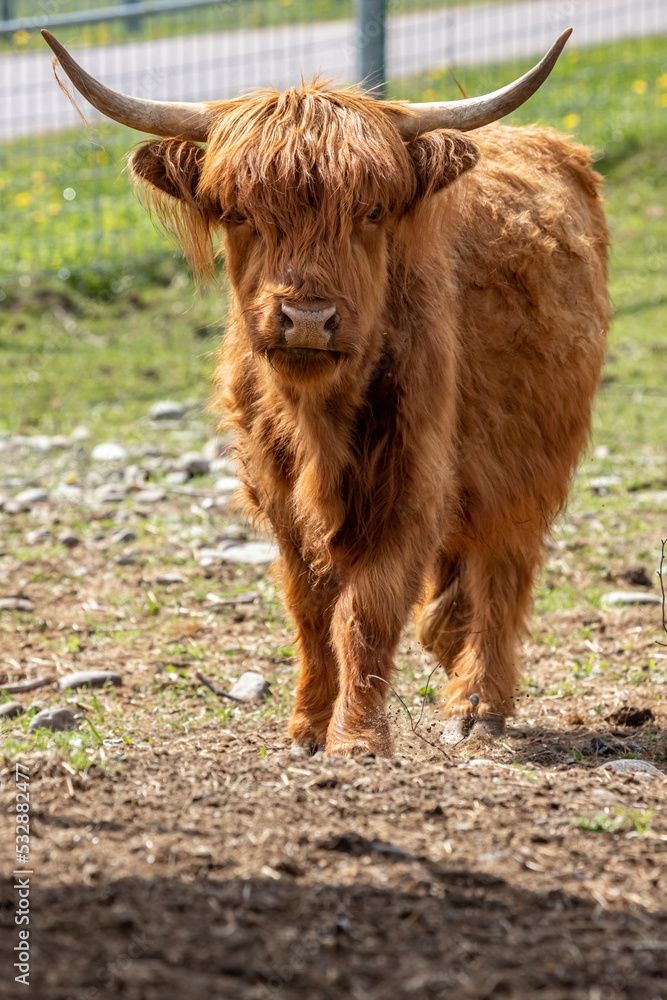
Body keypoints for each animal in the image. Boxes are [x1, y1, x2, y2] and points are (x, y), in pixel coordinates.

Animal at [43, 29, 610, 756]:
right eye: (238, 212)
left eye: (371, 210)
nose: (307, 318)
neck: (317, 422)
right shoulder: (277, 491)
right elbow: (310, 609)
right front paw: (308, 728)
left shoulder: (410, 480)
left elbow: (367, 611)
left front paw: (359, 739)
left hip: (525, 460)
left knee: (500, 573)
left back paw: (476, 705)